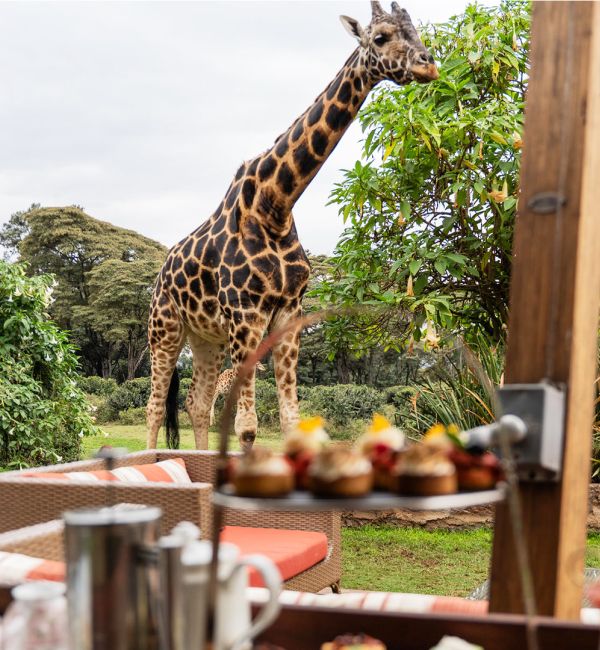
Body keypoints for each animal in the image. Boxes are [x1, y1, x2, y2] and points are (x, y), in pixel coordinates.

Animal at [146, 1, 438, 452]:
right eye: (380, 37)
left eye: (417, 30)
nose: (429, 65)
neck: (276, 203)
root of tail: (161, 273)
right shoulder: (245, 314)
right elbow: (247, 427)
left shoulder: (288, 313)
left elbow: (288, 420)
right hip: (164, 329)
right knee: (156, 406)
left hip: (206, 338)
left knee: (197, 403)